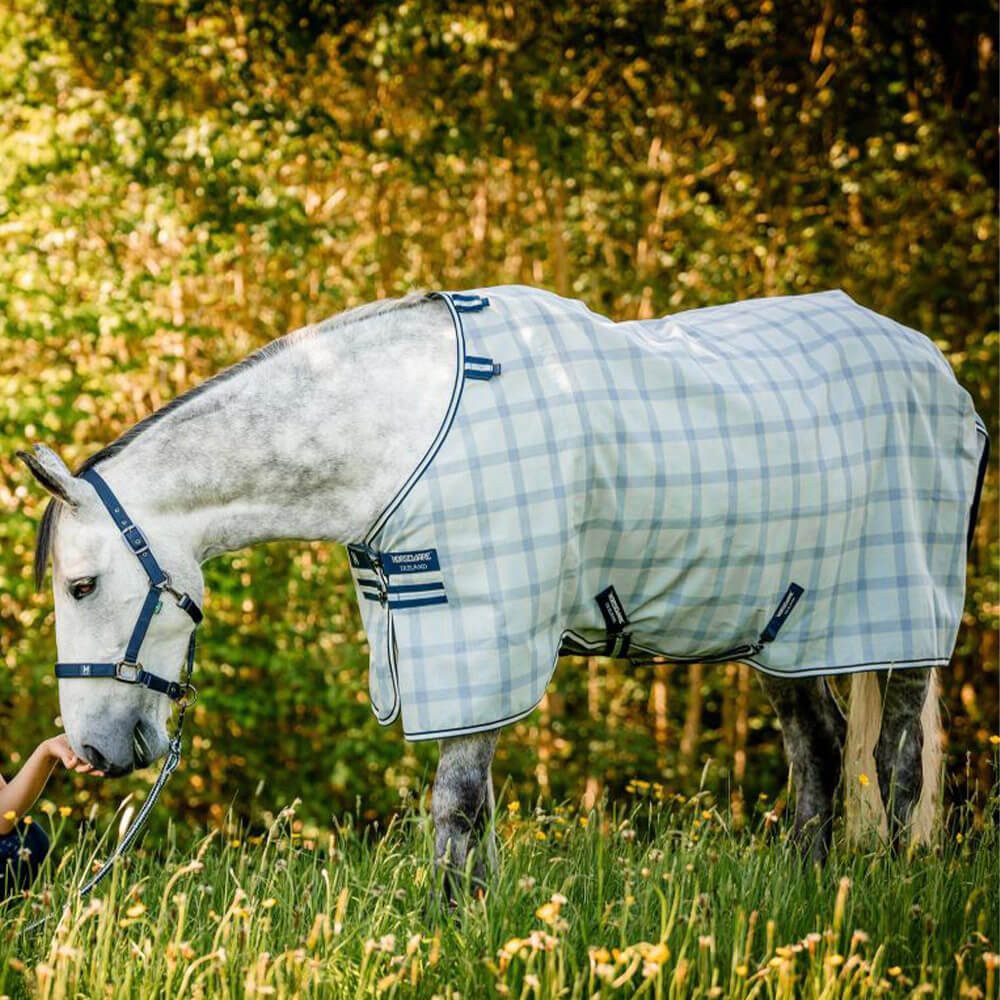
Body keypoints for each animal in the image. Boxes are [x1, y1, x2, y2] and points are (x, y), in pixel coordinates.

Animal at [19, 286, 987, 893]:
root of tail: (936, 367)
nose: (93, 749)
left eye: (82, 584)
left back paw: (889, 894)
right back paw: (805, 894)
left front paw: (449, 925)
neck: (395, 425)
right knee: (818, 752)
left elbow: (456, 804)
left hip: (900, 622)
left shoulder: (478, 629)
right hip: (786, 628)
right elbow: (473, 811)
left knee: (897, 765)